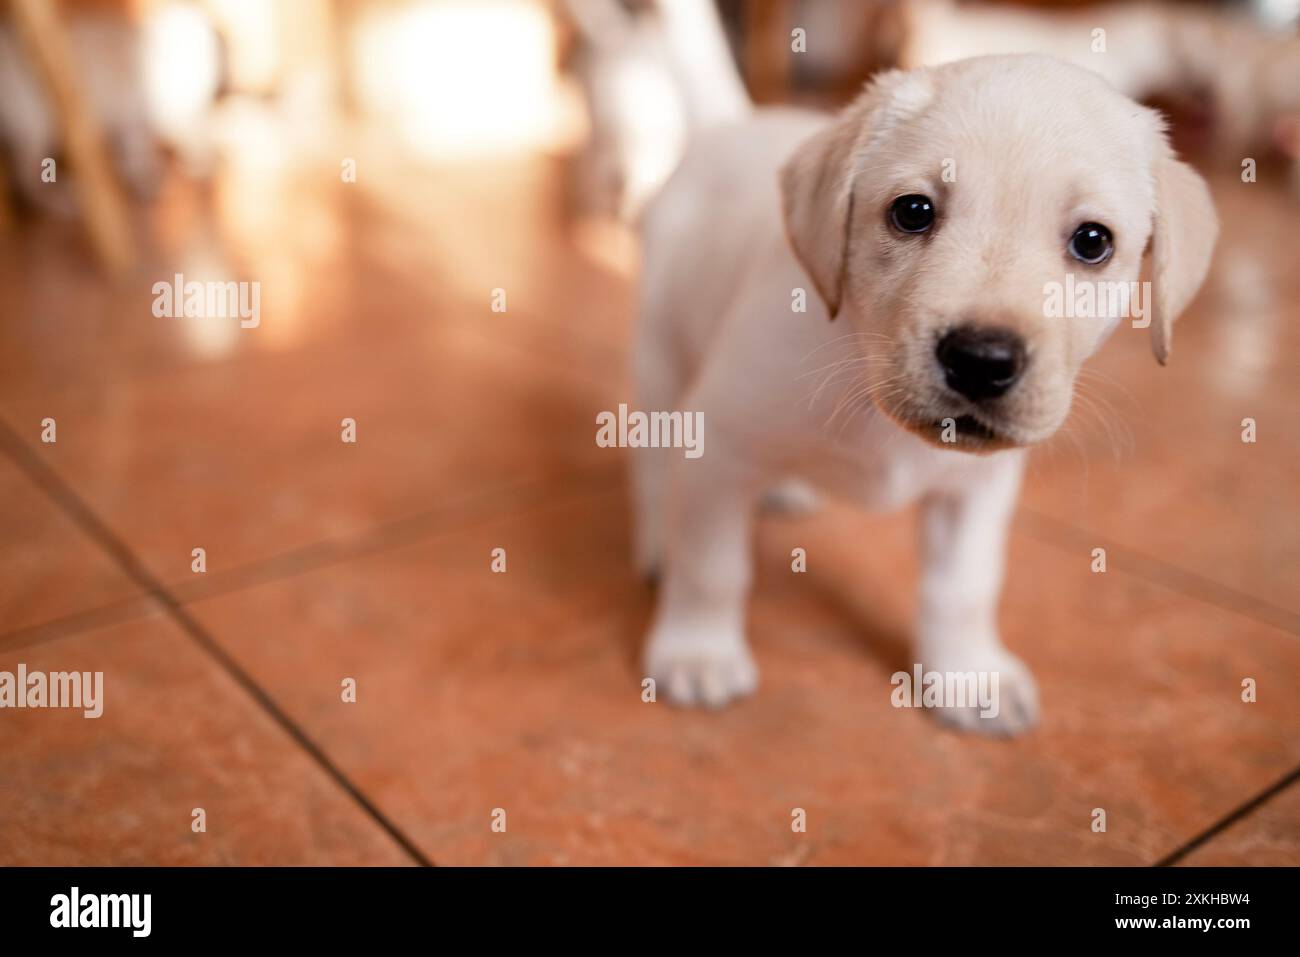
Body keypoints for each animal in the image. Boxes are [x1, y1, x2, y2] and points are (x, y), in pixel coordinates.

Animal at [631, 54, 1216, 733]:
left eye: (1093, 242)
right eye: (912, 211)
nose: (981, 361)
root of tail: (733, 126)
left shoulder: (976, 491)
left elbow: (962, 590)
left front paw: (970, 678)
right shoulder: (719, 440)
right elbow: (711, 566)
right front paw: (698, 653)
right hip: (660, 352)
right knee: (653, 460)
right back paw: (657, 541)